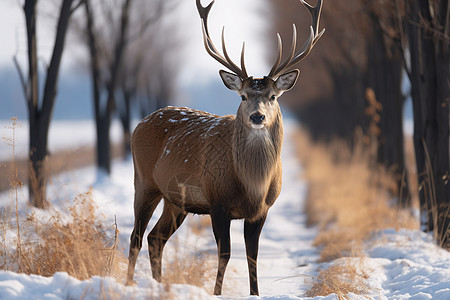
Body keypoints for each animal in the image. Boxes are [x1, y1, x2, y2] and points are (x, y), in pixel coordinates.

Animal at [125, 0, 324, 296]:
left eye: (272, 96)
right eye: (242, 96)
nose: (257, 117)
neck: (252, 185)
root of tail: (139, 124)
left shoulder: (262, 210)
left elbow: (252, 256)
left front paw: (255, 294)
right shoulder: (217, 200)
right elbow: (225, 253)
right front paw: (216, 293)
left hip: (177, 201)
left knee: (155, 237)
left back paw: (159, 285)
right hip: (144, 181)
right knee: (136, 236)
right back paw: (128, 283)